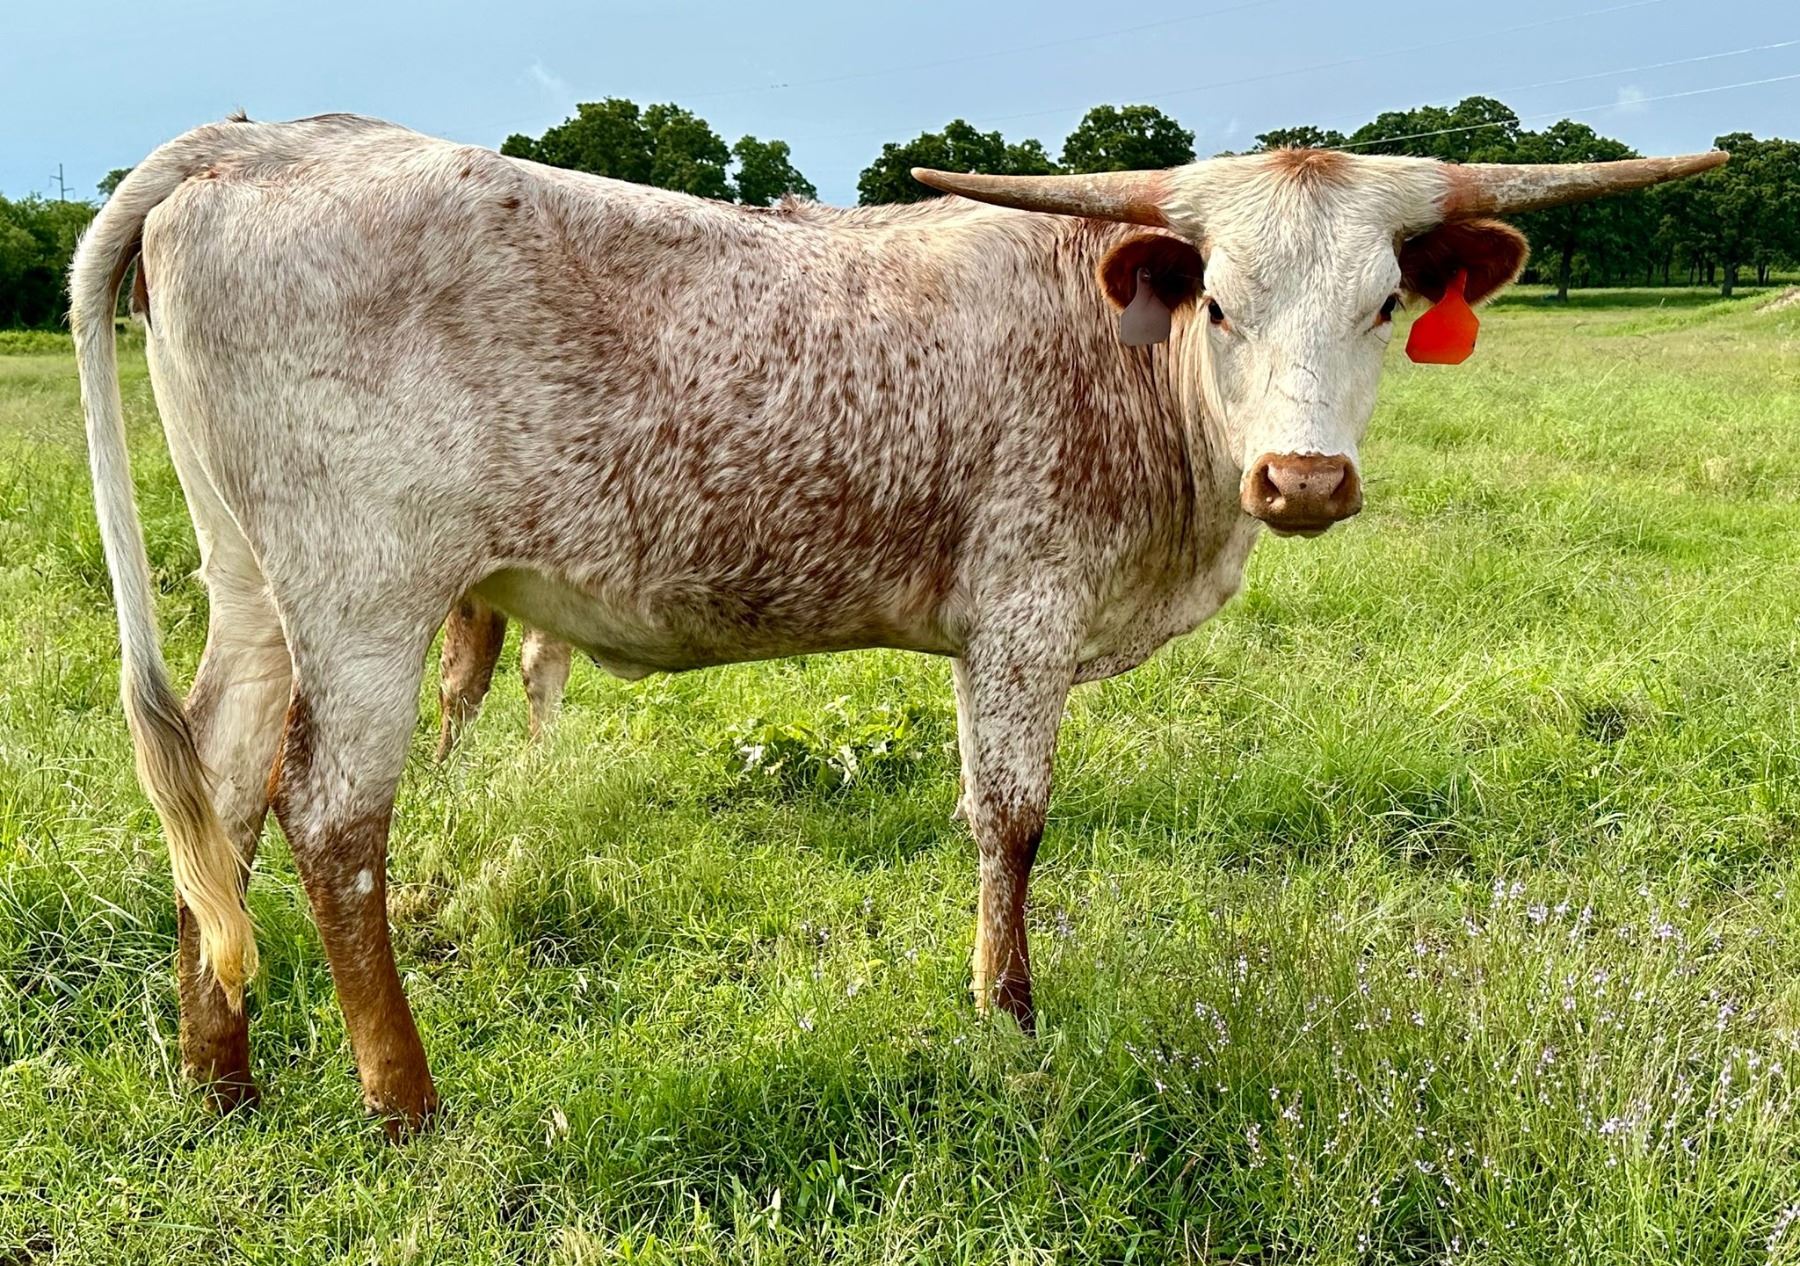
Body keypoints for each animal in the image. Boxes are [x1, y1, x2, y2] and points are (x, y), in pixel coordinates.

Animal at [69, 111, 1722, 1130]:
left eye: (1385, 303)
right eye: (1221, 303)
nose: (1303, 478)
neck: (1116, 353)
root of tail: (260, 139)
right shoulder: (1022, 613)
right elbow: (1012, 818)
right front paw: (1009, 1014)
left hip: (252, 582)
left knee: (215, 785)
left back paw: (220, 1071)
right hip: (368, 590)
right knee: (329, 815)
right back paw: (402, 1097)